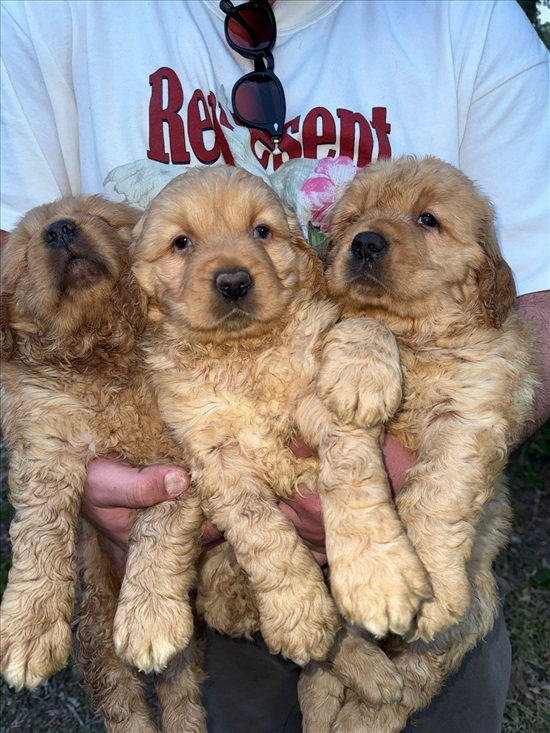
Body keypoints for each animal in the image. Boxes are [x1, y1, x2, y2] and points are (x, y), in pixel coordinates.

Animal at [0, 194, 207, 732]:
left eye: (101, 218)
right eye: (25, 250)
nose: (59, 229)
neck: (100, 356)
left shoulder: (182, 454)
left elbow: (160, 521)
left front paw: (149, 620)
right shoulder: (45, 443)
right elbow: (40, 532)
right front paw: (27, 629)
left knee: (180, 685)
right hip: (95, 628)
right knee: (122, 701)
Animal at [300, 157, 540, 732]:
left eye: (428, 219)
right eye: (353, 219)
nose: (364, 243)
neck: (416, 337)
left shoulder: (474, 411)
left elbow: (437, 493)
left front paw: (429, 585)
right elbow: (359, 318)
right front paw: (362, 375)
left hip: (476, 606)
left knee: (413, 681)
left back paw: (363, 711)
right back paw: (329, 700)